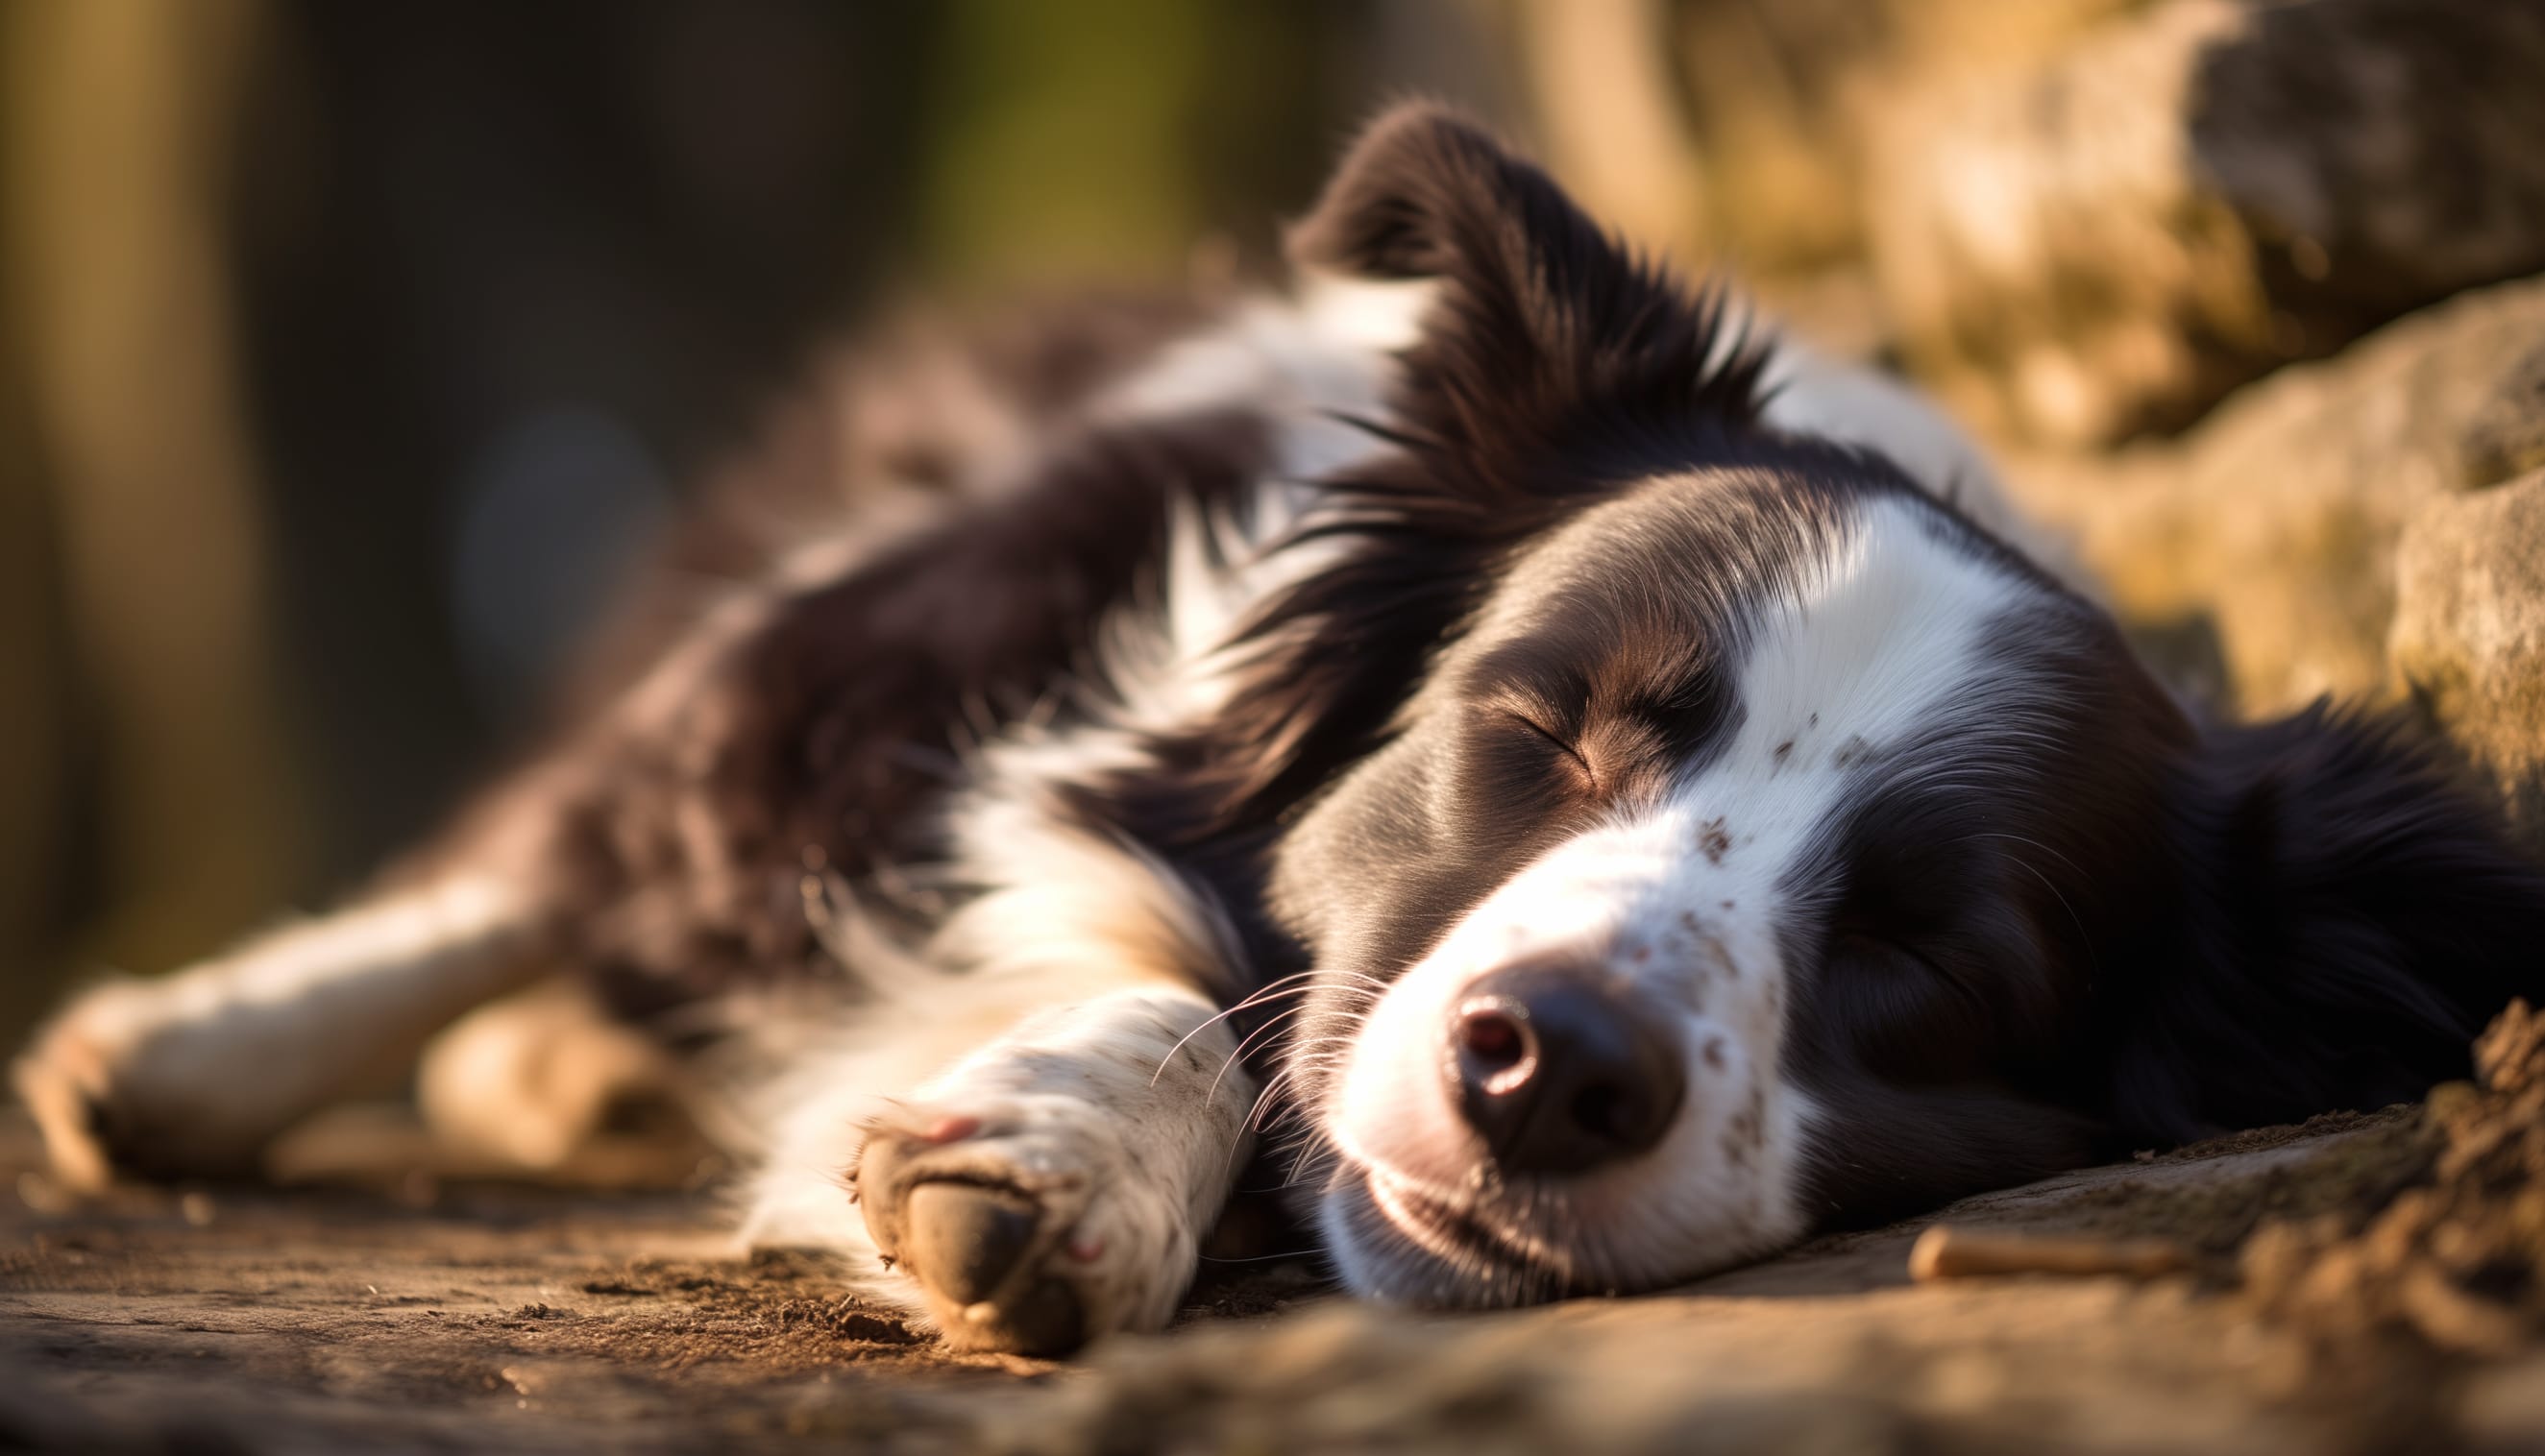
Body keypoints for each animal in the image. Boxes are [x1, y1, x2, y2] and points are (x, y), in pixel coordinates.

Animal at [19, 105, 2545, 1353]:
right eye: (1539, 723)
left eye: (1934, 955)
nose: (1554, 1071)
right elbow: (1188, 984)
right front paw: (1057, 1141)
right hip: (867, 642)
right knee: (573, 839)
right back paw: (201, 1052)